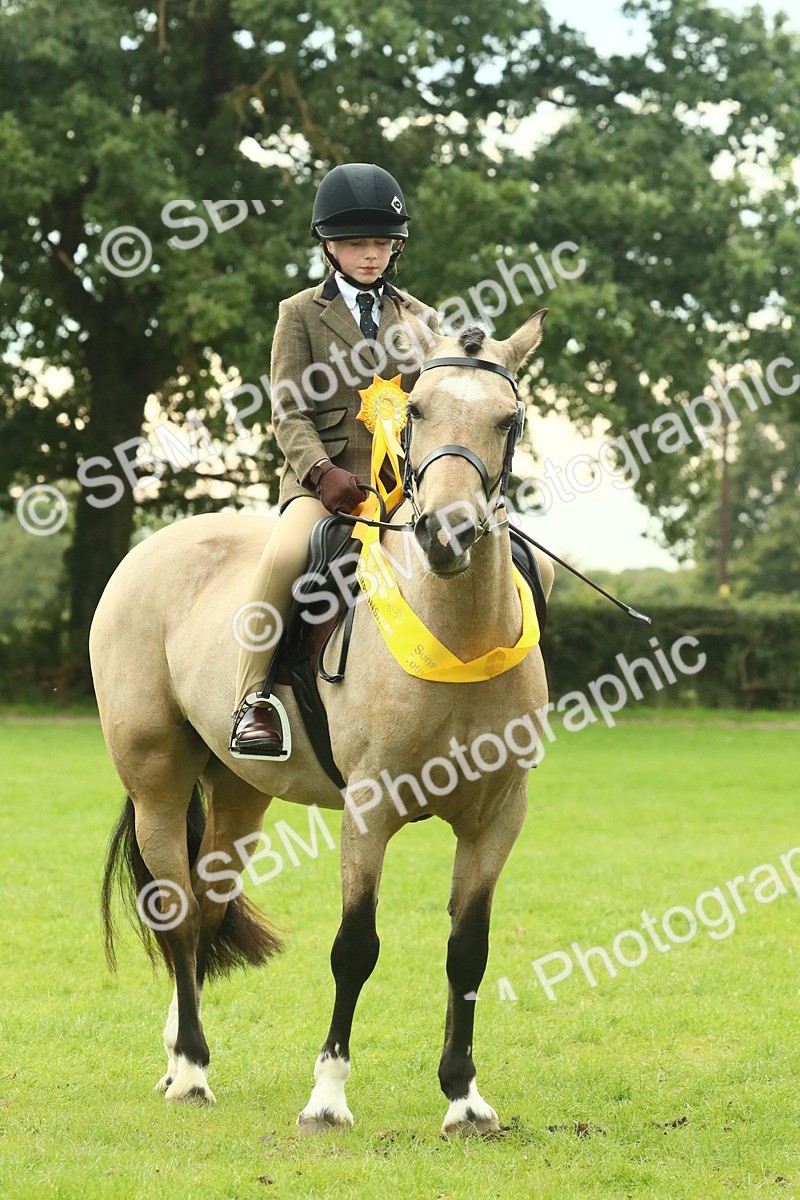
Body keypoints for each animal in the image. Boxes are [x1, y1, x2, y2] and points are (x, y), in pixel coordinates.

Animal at [95, 307, 551, 1136]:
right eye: (417, 411)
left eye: (508, 420)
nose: (446, 536)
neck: (455, 635)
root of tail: (154, 548)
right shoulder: (368, 812)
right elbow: (355, 948)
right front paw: (328, 1096)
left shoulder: (498, 816)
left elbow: (467, 950)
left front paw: (464, 1097)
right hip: (157, 784)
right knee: (176, 912)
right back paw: (192, 1070)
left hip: (240, 792)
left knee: (206, 907)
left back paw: (181, 1048)